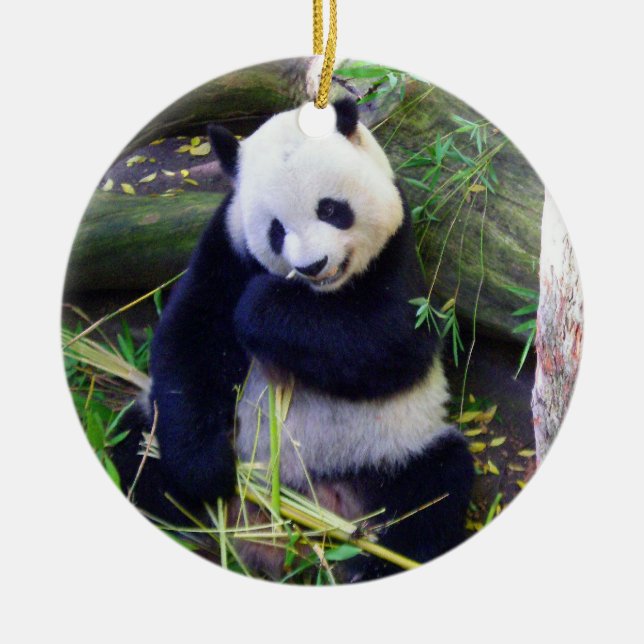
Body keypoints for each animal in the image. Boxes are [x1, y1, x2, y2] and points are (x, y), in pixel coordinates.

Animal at [114, 98, 474, 582]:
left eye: (331, 209)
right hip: (155, 431)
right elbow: (190, 337)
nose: (313, 266)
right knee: (135, 449)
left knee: (434, 491)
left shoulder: (398, 244)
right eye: (276, 229)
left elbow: (393, 343)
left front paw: (262, 306)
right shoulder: (228, 240)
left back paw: (370, 565)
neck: (320, 297)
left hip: (393, 450)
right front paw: (203, 473)